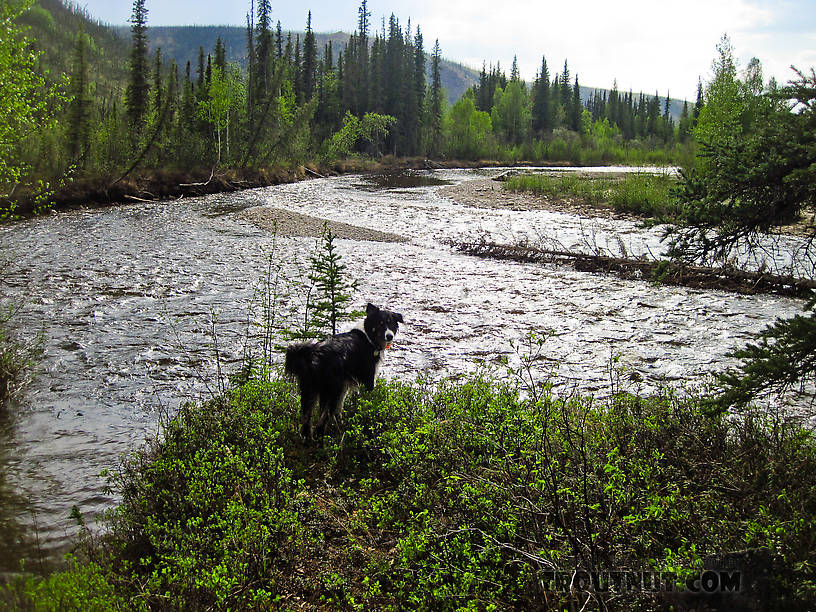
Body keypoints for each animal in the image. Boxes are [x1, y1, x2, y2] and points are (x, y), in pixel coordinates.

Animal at [286, 302, 404, 438]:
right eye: (380, 323)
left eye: (391, 324)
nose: (389, 336)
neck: (368, 336)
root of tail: (315, 354)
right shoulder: (368, 378)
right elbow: (367, 401)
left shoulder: (345, 385)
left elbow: (341, 407)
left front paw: (341, 421)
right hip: (332, 391)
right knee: (322, 420)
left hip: (310, 391)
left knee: (306, 419)